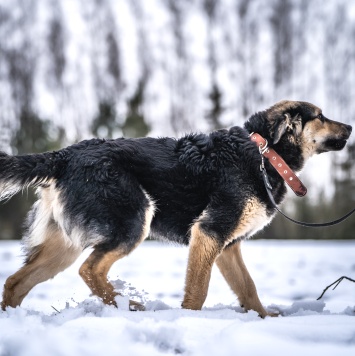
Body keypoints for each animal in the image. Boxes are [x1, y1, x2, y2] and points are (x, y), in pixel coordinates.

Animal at [0, 100, 350, 318]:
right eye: (320, 116)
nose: (349, 127)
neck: (265, 154)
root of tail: (64, 155)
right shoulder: (208, 233)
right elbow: (198, 290)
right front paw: (190, 321)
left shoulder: (227, 246)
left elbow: (247, 288)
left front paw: (264, 318)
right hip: (133, 221)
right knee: (90, 269)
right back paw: (127, 305)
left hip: (65, 246)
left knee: (15, 283)